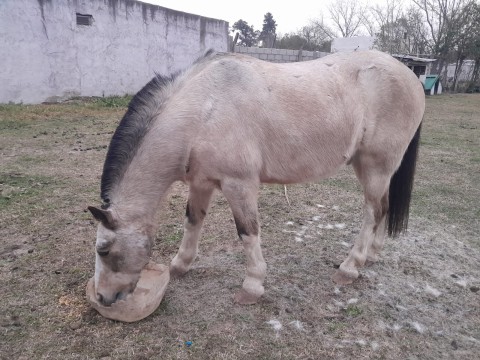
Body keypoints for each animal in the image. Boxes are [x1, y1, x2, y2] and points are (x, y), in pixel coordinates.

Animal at [87, 48, 424, 306]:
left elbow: (247, 233)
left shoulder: (240, 185)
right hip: (379, 171)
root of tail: (409, 76)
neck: (204, 109)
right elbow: (193, 221)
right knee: (384, 208)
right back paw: (372, 255)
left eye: (103, 250)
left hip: (374, 167)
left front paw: (252, 286)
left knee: (373, 212)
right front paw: (180, 265)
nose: (103, 297)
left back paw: (351, 267)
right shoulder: (201, 183)